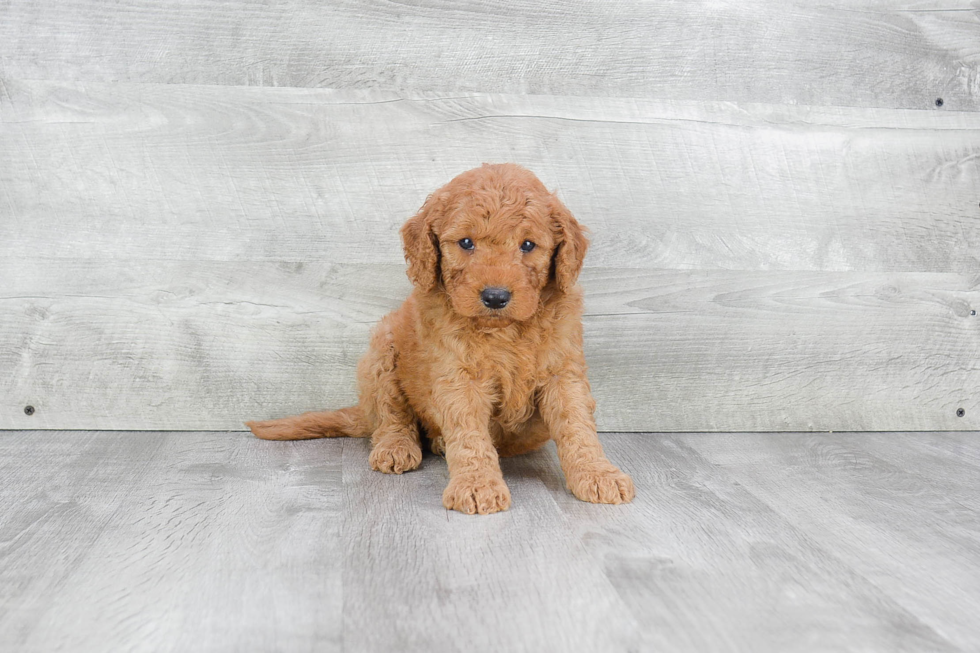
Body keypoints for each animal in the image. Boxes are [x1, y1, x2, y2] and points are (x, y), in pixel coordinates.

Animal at [247, 163, 636, 516]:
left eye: (528, 245)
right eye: (465, 243)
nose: (495, 297)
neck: (505, 329)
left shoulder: (562, 373)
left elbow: (578, 427)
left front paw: (597, 474)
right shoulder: (458, 376)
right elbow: (469, 435)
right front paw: (477, 485)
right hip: (381, 351)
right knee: (391, 415)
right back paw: (397, 447)